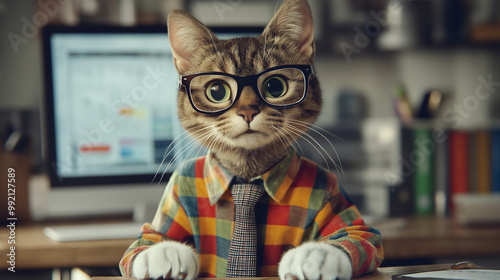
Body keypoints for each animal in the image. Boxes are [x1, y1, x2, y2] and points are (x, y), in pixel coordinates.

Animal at [119, 1, 384, 278]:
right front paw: (163, 254)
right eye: (216, 90)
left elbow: (358, 235)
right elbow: (147, 240)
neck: (246, 177)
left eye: (275, 86)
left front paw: (315, 256)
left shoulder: (333, 197)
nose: (247, 111)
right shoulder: (172, 203)